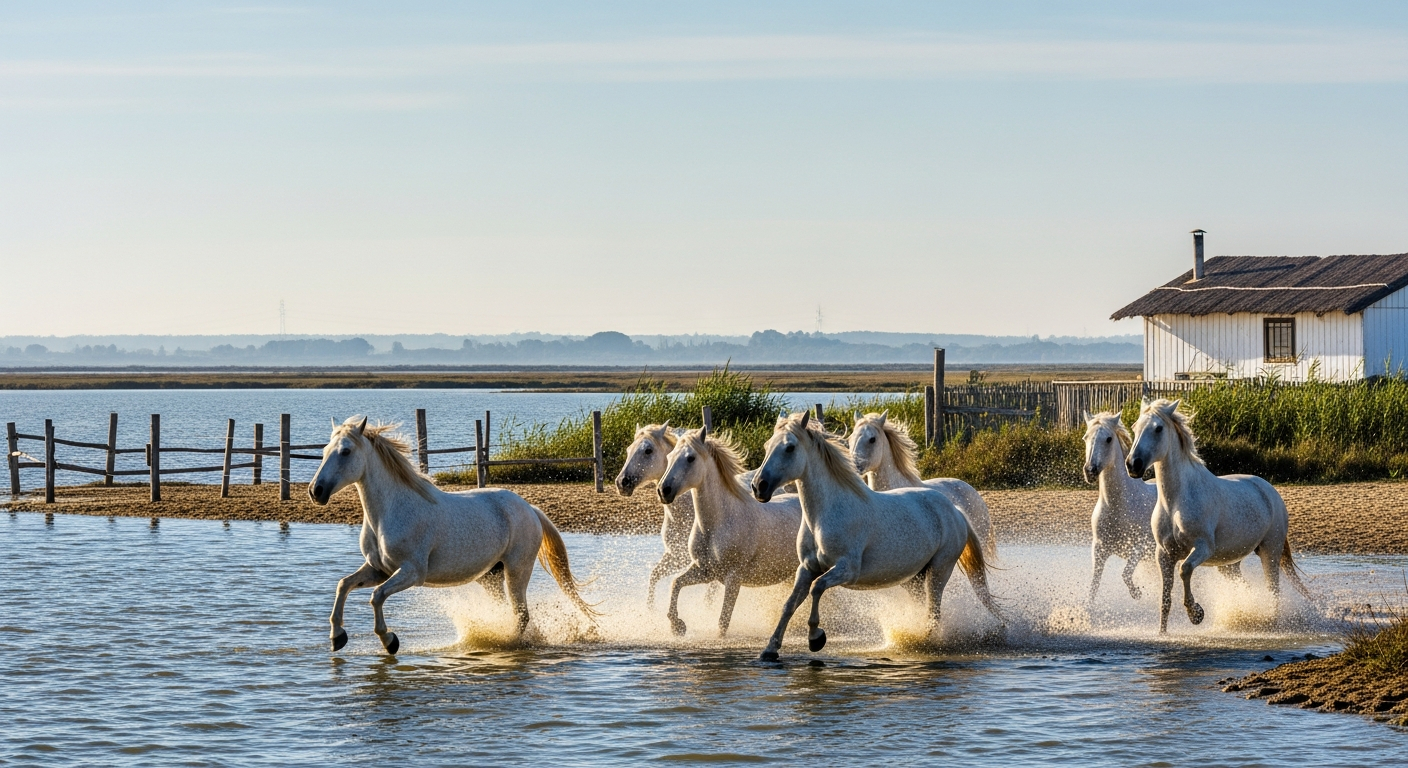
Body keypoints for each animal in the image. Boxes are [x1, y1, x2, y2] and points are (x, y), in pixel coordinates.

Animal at [311, 416, 598, 654]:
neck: (390, 512)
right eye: (324, 451)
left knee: (521, 614)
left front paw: (389, 641)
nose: (316, 491)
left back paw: (508, 644)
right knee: (511, 613)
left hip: (517, 569)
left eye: (345, 451)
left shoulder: (412, 572)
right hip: (491, 577)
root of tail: (530, 509)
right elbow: (344, 585)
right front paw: (337, 637)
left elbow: (377, 596)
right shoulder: (378, 569)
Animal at [655, 427, 803, 637]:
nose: (663, 491)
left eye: (691, 458)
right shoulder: (705, 571)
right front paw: (677, 626)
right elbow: (676, 583)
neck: (717, 524)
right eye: (669, 456)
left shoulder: (733, 578)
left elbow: (723, 622)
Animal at [1081, 410, 1157, 603]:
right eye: (1086, 437)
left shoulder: (1139, 547)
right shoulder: (1099, 549)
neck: (1118, 505)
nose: (1090, 471)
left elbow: (1125, 574)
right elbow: (1093, 586)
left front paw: (1137, 593)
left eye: (1108, 439)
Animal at [1126, 399, 1311, 632]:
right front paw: (1162, 633)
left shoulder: (1203, 547)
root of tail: (1271, 492)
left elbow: (1185, 569)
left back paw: (1271, 624)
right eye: (1135, 427)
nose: (1133, 464)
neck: (1176, 501)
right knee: (1246, 588)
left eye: (1158, 428)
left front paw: (1196, 613)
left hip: (1270, 551)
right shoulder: (1164, 554)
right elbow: (1165, 599)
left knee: (1273, 591)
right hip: (1229, 564)